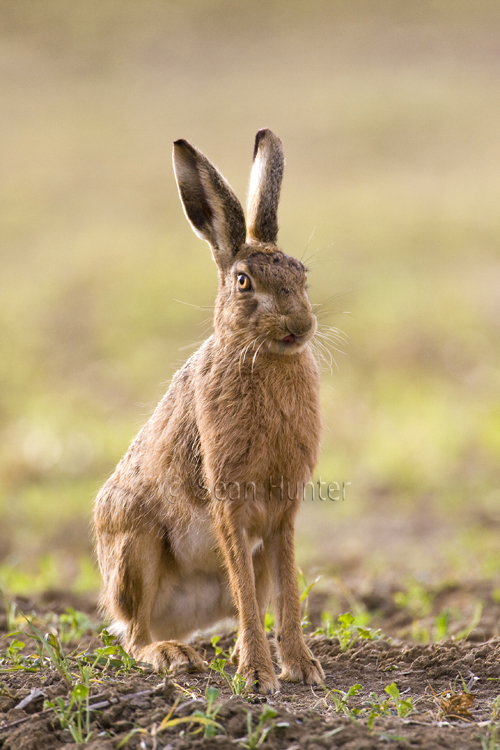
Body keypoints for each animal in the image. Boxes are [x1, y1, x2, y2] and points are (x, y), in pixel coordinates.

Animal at [94, 128, 325, 694]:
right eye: (243, 282)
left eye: (302, 275)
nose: (300, 326)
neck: (263, 357)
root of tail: (181, 618)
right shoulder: (229, 500)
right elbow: (247, 586)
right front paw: (259, 678)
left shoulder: (283, 512)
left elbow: (286, 588)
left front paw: (302, 667)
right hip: (134, 547)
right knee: (134, 634)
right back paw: (175, 654)